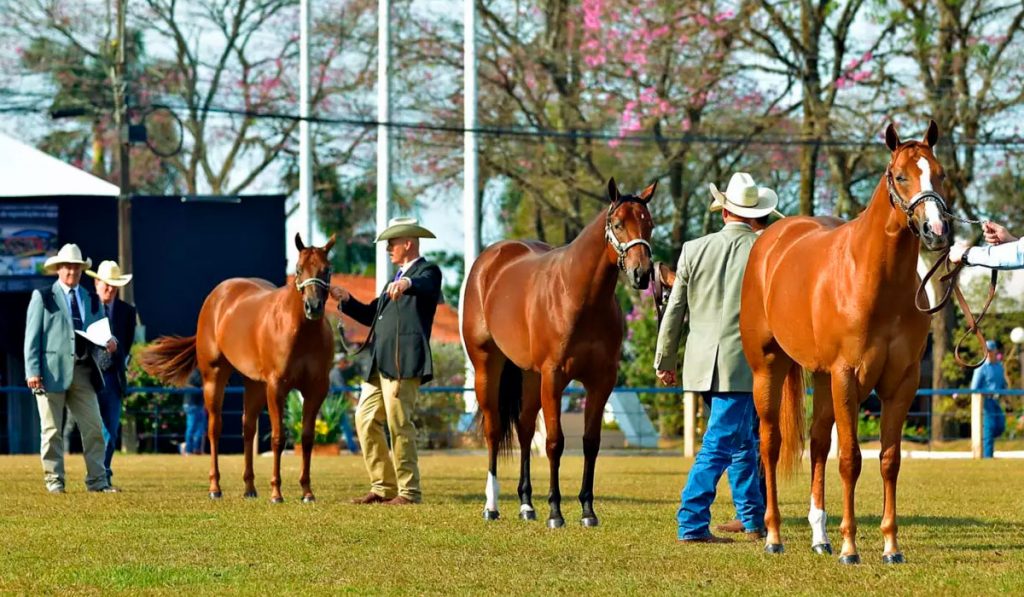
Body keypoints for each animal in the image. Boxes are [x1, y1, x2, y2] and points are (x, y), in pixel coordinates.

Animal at [138, 233, 331, 503]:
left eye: (326, 270)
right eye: (298, 269)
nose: (313, 307)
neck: (301, 332)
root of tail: (217, 296)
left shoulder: (316, 390)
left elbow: (307, 438)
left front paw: (307, 492)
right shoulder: (276, 387)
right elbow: (278, 437)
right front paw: (276, 492)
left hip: (255, 384)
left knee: (247, 428)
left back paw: (249, 488)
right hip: (214, 377)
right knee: (214, 429)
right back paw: (215, 487)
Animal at [462, 177, 655, 528]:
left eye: (649, 224)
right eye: (618, 224)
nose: (642, 273)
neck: (579, 296)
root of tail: (491, 260)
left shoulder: (601, 381)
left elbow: (590, 443)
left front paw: (588, 511)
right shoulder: (554, 377)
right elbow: (555, 442)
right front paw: (556, 511)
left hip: (529, 375)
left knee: (525, 429)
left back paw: (526, 505)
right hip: (487, 365)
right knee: (494, 430)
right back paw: (492, 506)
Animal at [745, 122, 950, 565]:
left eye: (941, 174)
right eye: (900, 176)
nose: (936, 231)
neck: (878, 283)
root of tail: (772, 240)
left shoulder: (902, 382)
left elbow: (889, 459)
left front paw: (890, 546)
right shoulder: (848, 376)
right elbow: (851, 460)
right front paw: (850, 547)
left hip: (822, 379)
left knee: (819, 443)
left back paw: (819, 537)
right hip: (768, 369)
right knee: (770, 445)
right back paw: (774, 536)